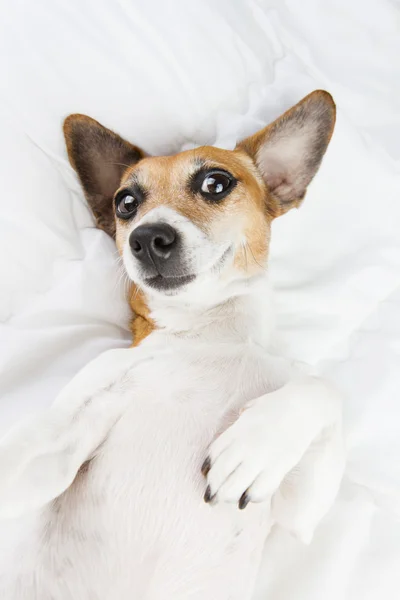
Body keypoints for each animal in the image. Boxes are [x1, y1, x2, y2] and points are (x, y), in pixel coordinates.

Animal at [0, 90, 344, 600]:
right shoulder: (62, 438)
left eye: (216, 183)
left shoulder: (302, 513)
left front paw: (254, 449)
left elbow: (324, 389)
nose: (147, 237)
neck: (211, 334)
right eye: (126, 202)